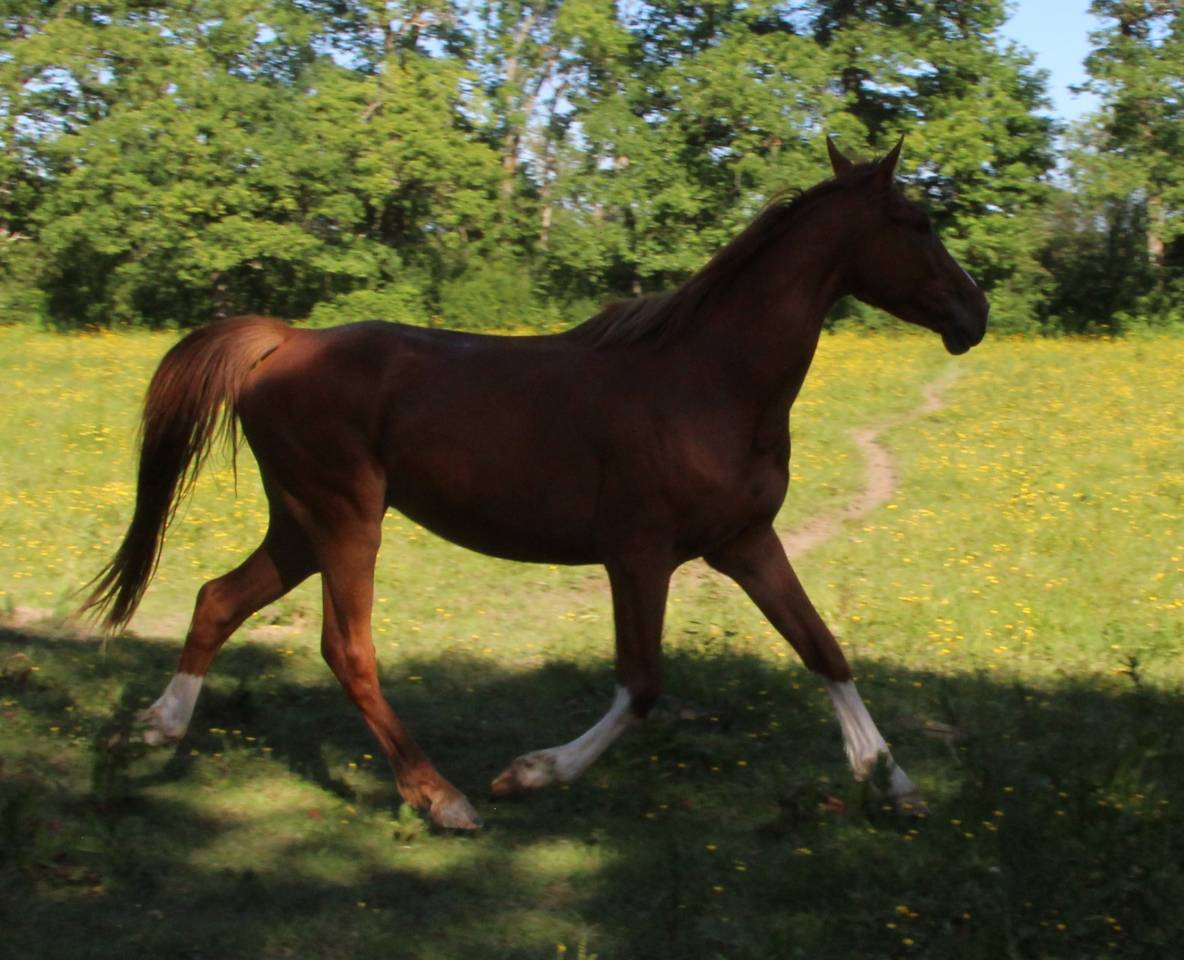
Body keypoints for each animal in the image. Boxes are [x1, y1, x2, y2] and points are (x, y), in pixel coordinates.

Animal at [82, 138, 988, 830]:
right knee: (346, 647)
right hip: (345, 518)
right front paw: (531, 773)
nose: (974, 315)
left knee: (217, 599)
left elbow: (824, 648)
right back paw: (440, 796)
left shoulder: (745, 543)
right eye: (919, 222)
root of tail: (285, 341)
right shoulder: (638, 555)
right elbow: (642, 684)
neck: (711, 383)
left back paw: (153, 731)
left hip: (301, 524)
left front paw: (894, 783)